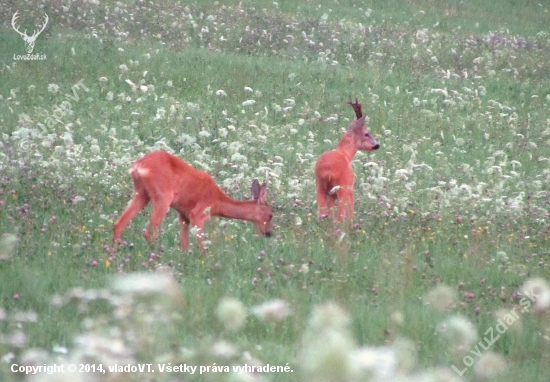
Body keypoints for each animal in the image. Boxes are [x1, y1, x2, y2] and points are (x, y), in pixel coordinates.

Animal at [114, 151, 274, 252]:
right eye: (271, 214)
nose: (269, 234)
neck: (218, 202)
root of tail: (139, 166)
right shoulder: (198, 214)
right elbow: (203, 246)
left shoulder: (183, 215)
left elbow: (185, 245)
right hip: (163, 197)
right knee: (149, 232)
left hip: (141, 193)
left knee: (119, 223)